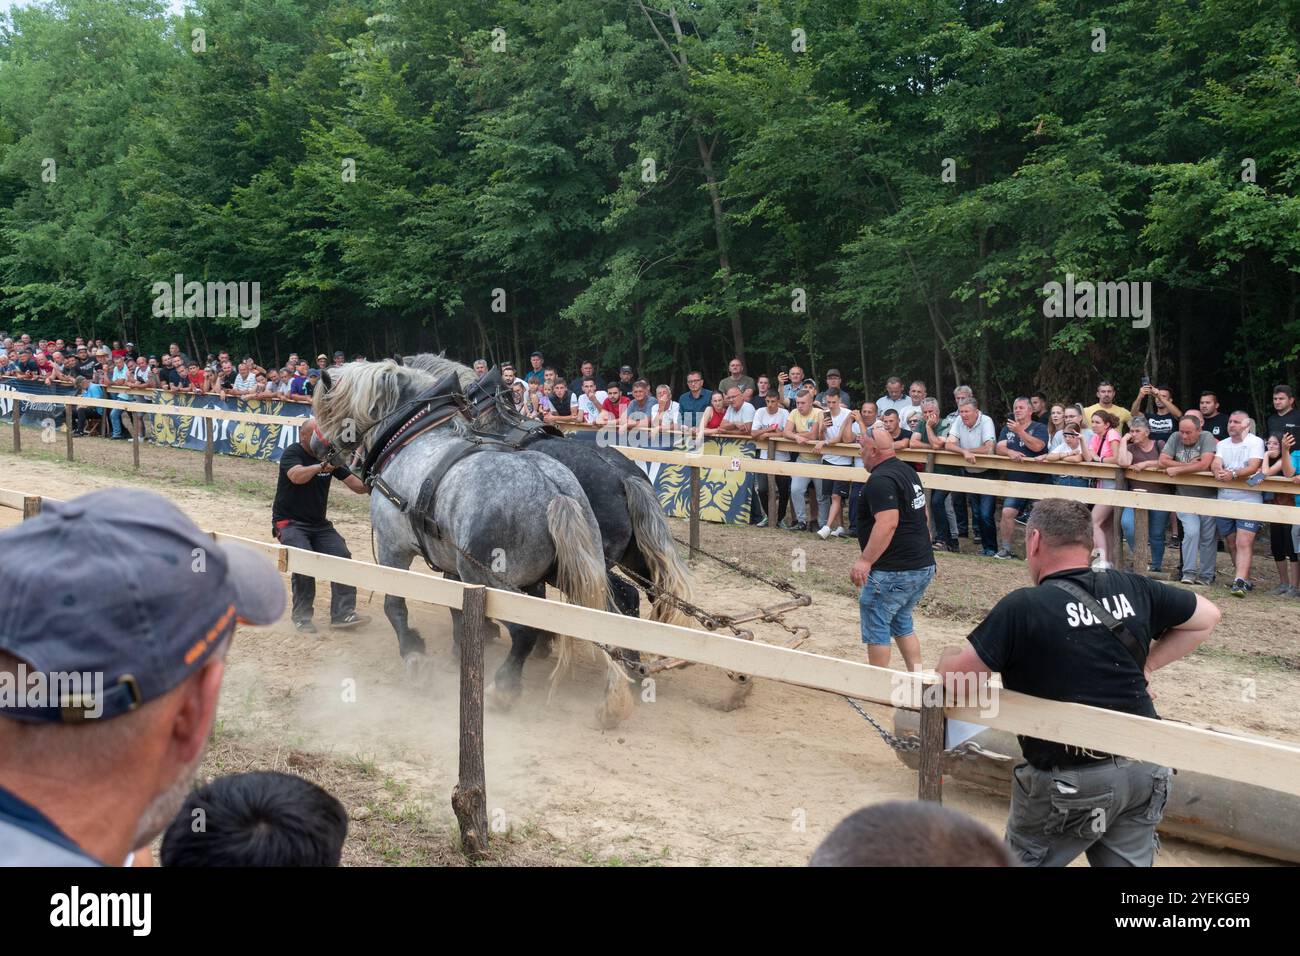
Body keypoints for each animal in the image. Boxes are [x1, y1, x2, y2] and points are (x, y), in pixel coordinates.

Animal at [310, 361, 634, 723]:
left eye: (325, 407)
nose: (314, 445)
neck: (413, 435)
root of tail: (553, 489)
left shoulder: (393, 546)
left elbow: (394, 605)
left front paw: (415, 657)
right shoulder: (451, 561)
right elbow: (456, 607)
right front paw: (459, 649)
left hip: (489, 576)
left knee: (525, 631)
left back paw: (503, 689)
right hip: (573, 572)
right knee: (608, 620)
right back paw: (615, 694)